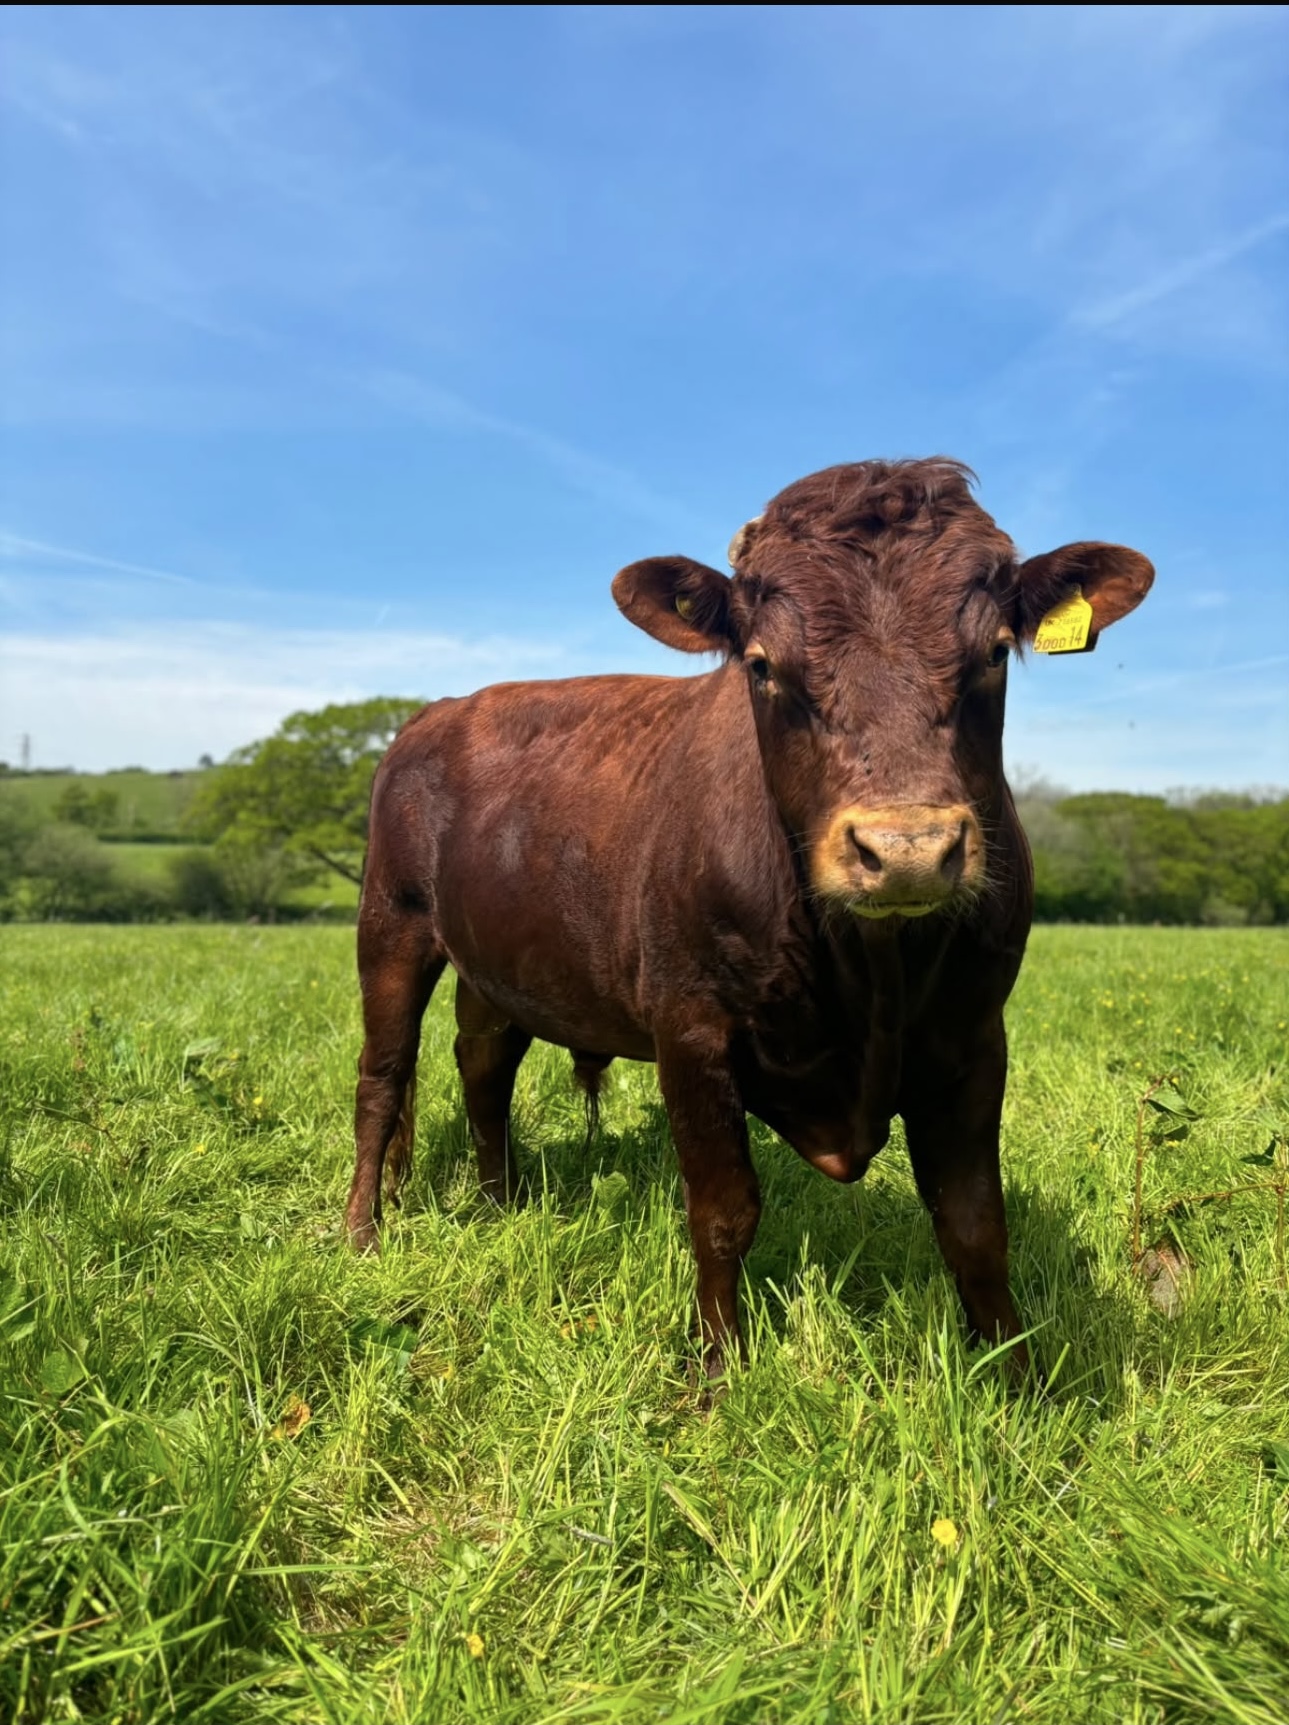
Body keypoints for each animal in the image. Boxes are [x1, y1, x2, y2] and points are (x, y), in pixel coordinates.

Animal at [346, 459, 1153, 1382]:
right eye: (763, 666)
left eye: (991, 653)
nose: (906, 848)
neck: (869, 972)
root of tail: (435, 712)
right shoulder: (691, 1032)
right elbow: (723, 1211)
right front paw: (715, 1372)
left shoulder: (975, 1035)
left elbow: (975, 1223)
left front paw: (1016, 1378)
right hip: (391, 926)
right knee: (383, 1077)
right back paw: (363, 1232)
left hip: (498, 961)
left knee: (483, 1066)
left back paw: (500, 1204)